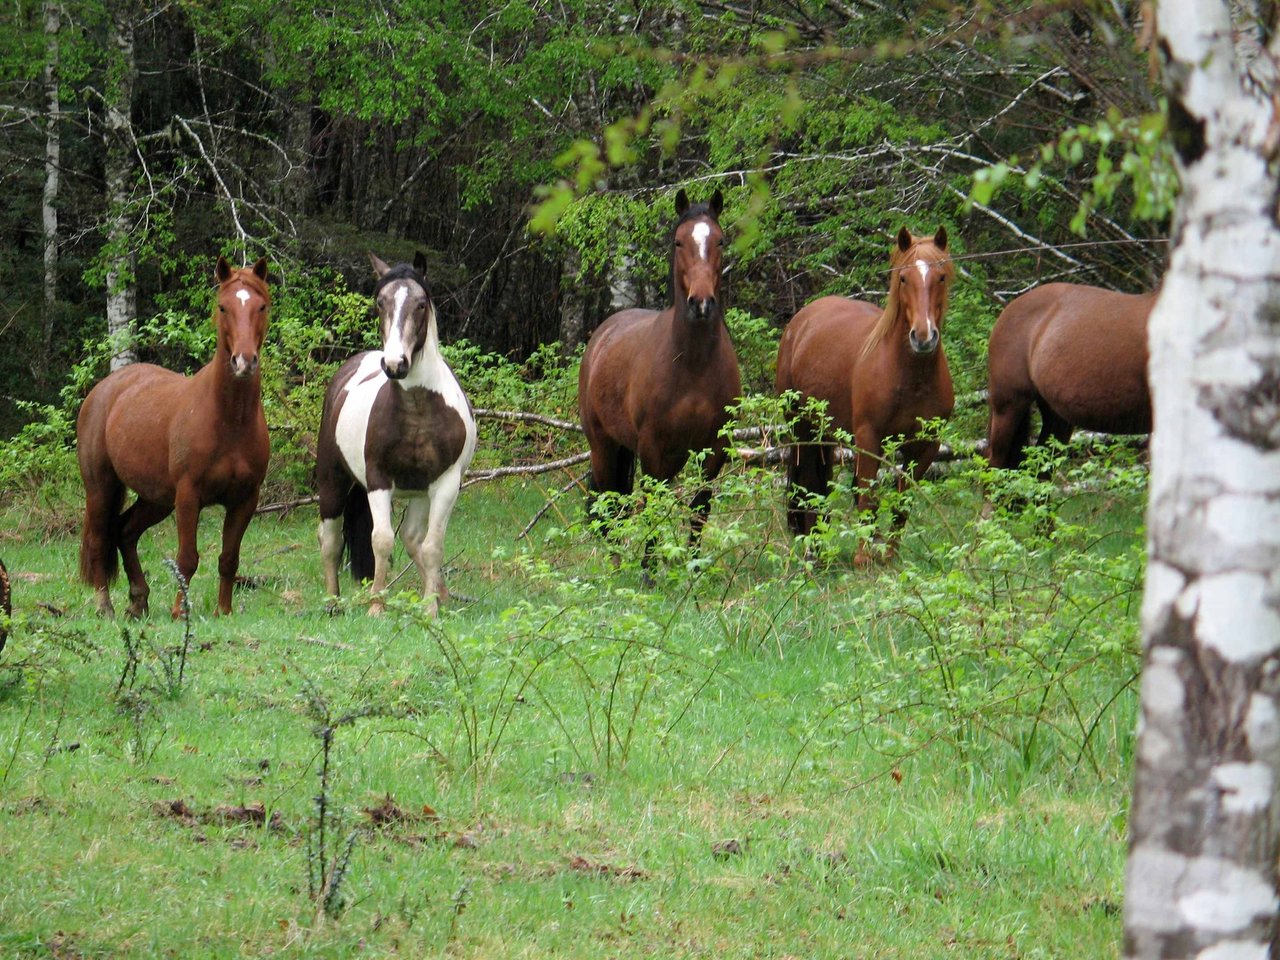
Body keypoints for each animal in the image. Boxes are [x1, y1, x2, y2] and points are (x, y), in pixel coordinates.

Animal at [76, 256, 271, 619]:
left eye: (261, 306)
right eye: (223, 307)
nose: (244, 361)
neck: (230, 420)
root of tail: (103, 390)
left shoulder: (245, 499)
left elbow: (229, 558)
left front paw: (224, 611)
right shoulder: (188, 495)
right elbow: (187, 558)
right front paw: (180, 611)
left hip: (156, 498)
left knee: (125, 531)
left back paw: (138, 599)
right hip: (101, 488)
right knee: (98, 538)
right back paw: (105, 606)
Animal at [317, 252, 478, 619]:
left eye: (420, 304)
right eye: (381, 302)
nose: (394, 364)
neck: (418, 408)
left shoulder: (445, 484)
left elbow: (432, 546)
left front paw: (431, 609)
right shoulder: (379, 480)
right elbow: (381, 541)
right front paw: (377, 606)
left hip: (419, 494)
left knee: (413, 538)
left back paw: (441, 595)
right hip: (332, 482)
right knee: (330, 541)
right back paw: (333, 603)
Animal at [578, 189, 747, 578]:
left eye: (720, 240)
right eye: (678, 241)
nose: (701, 303)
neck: (694, 365)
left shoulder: (714, 448)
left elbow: (700, 507)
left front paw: (693, 568)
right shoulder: (653, 447)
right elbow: (651, 502)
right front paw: (647, 570)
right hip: (603, 445)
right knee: (610, 501)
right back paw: (615, 564)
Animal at [773, 225, 957, 563]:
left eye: (941, 277)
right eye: (903, 278)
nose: (923, 337)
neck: (911, 375)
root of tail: (801, 319)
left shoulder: (926, 445)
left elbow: (901, 502)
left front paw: (889, 556)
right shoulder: (869, 437)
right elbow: (867, 496)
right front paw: (863, 559)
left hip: (827, 432)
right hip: (802, 428)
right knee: (808, 482)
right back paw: (812, 550)